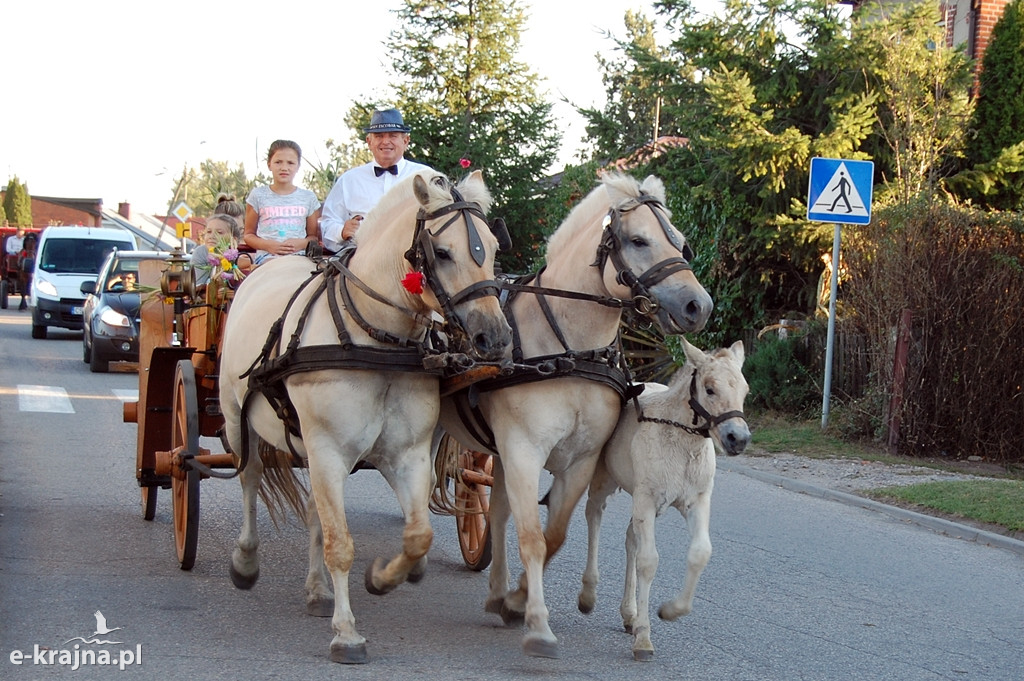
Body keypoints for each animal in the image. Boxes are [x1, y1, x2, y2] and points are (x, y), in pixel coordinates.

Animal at [221, 171, 516, 663]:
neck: (373, 342)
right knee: (250, 476)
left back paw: (318, 591)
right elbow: (341, 544)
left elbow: (417, 535)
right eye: (442, 252)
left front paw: (382, 578)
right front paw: (347, 633)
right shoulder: (327, 450)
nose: (492, 338)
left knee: (315, 511)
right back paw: (245, 561)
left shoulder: (406, 454)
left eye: (493, 248)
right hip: (235, 418)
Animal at [438, 173, 712, 655]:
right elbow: (533, 537)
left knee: (496, 511)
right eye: (638, 240)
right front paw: (534, 618)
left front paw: (517, 599)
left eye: (681, 242)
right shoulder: (524, 451)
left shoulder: (579, 460)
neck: (567, 349)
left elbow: (554, 536)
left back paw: (496, 592)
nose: (699, 306)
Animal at [577, 337, 753, 659]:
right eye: (710, 388)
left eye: (745, 390)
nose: (738, 439)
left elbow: (700, 553)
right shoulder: (646, 500)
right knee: (593, 516)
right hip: (605, 482)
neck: (682, 443)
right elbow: (648, 562)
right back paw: (588, 596)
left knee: (630, 538)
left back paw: (629, 615)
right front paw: (644, 639)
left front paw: (670, 611)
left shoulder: (696, 501)